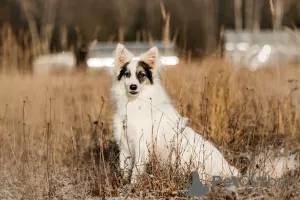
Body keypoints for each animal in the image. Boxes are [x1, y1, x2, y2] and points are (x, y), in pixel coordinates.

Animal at [110, 43, 239, 184]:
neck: (134, 103)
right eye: (127, 74)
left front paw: (133, 186)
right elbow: (124, 170)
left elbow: (135, 172)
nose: (133, 87)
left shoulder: (141, 146)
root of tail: (228, 168)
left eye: (141, 75)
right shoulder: (124, 146)